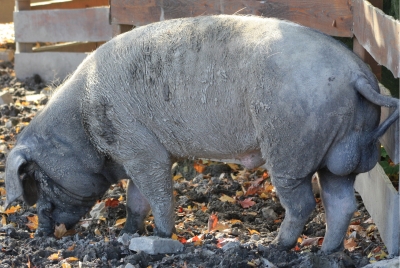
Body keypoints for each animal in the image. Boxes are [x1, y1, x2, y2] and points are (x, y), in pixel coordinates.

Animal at [4, 14, 398, 253]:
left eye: (39, 177)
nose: (40, 232)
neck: (82, 122)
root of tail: (357, 75)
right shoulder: (136, 152)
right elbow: (136, 200)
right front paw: (129, 234)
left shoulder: (140, 148)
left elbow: (158, 194)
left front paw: (162, 238)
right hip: (339, 152)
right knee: (341, 202)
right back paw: (326, 251)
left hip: (290, 147)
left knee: (303, 203)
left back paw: (273, 247)